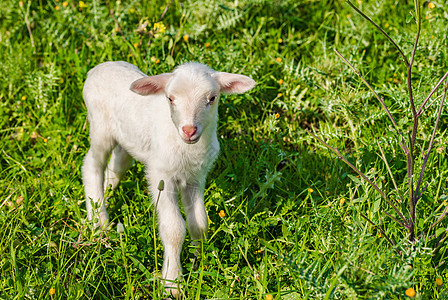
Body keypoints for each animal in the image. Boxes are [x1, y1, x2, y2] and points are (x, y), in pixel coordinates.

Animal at [81, 61, 256, 296]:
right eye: (170, 99)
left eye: (212, 98)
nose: (189, 130)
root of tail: (100, 67)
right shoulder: (161, 177)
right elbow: (174, 229)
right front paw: (173, 282)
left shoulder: (195, 178)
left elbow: (199, 223)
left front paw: (199, 262)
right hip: (100, 126)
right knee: (92, 165)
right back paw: (99, 221)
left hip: (127, 137)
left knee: (117, 164)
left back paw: (105, 199)